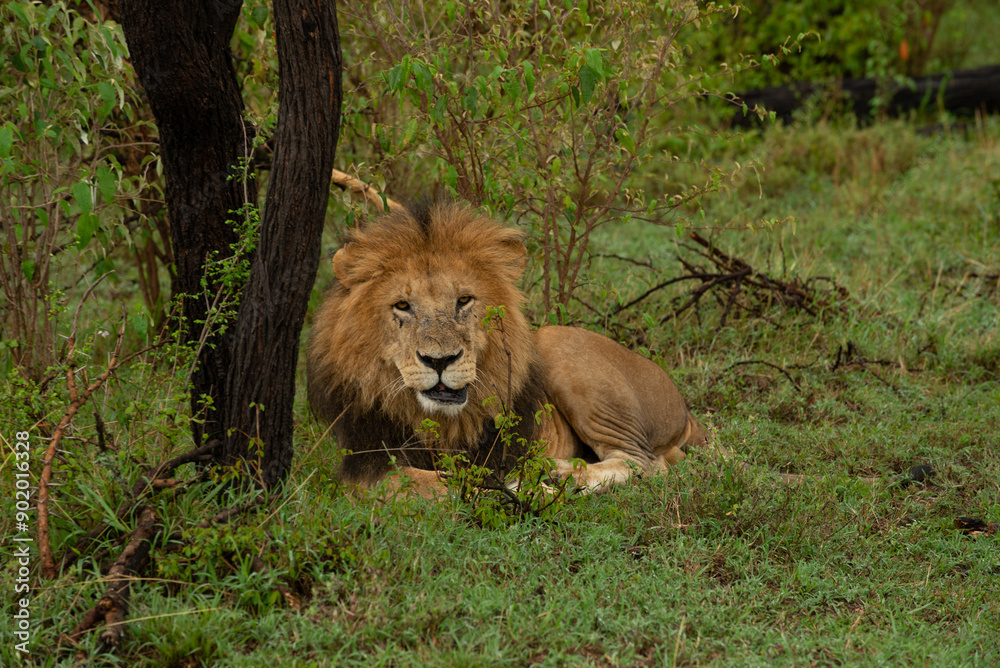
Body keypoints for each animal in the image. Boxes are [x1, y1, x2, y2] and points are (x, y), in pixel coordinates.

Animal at [306, 202, 709, 497]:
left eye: (464, 301)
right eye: (402, 306)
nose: (441, 361)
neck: (439, 420)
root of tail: (688, 411)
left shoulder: (490, 455)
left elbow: (458, 486)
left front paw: (522, 490)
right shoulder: (359, 463)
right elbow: (418, 482)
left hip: (556, 340)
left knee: (645, 463)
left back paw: (558, 474)